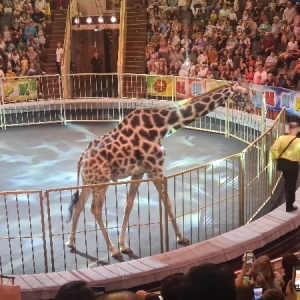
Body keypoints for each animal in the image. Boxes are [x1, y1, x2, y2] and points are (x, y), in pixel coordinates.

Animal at [65, 82, 251, 258]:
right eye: (245, 93)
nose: (250, 108)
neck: (161, 126)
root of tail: (81, 159)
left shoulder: (140, 171)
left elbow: (128, 205)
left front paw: (124, 244)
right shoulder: (155, 168)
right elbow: (167, 201)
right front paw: (181, 237)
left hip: (89, 182)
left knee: (79, 205)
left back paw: (71, 242)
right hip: (101, 182)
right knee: (95, 209)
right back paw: (112, 250)